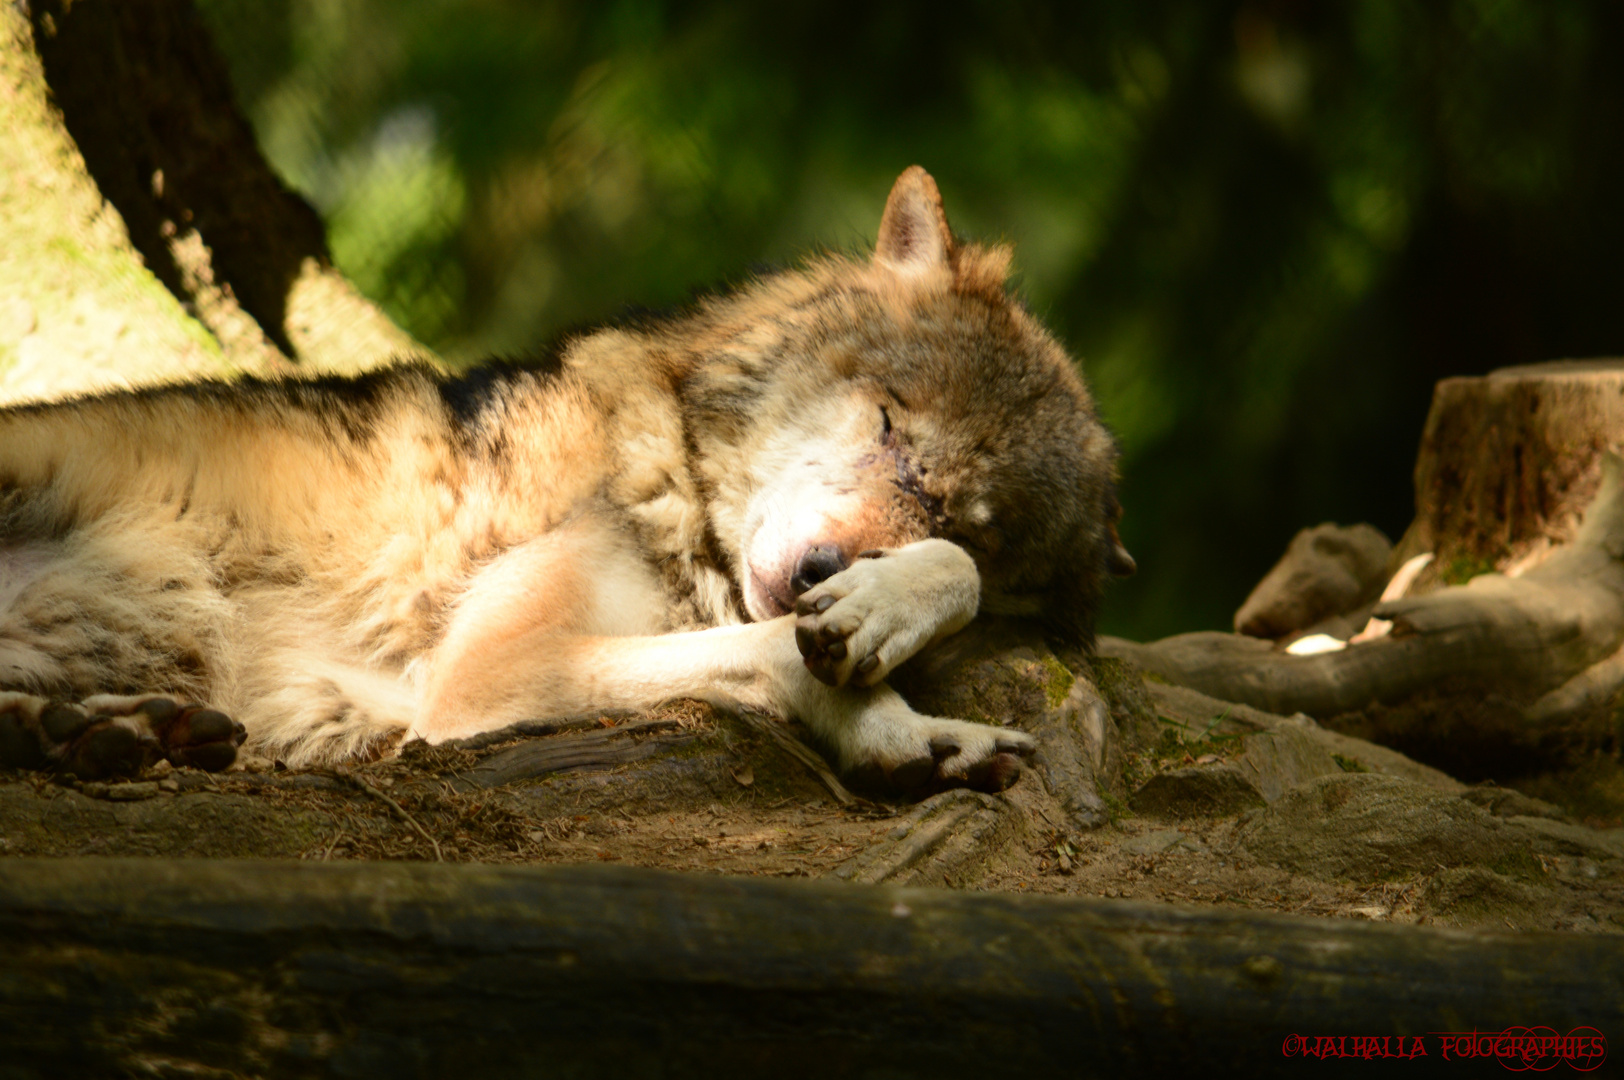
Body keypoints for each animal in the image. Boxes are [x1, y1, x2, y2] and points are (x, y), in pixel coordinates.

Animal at [0, 166, 1130, 792]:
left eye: (968, 517)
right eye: (892, 427)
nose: (821, 570)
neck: (661, 476)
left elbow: (917, 594)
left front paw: (898, 655)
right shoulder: (485, 677)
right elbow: (766, 650)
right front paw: (891, 699)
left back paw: (94, 733)